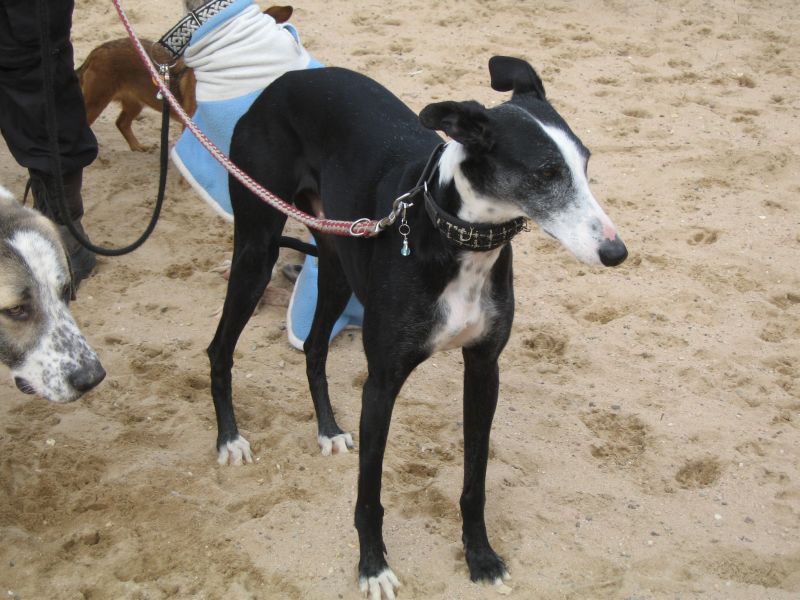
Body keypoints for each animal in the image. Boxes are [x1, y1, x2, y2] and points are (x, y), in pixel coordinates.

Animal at [208, 56, 627, 597]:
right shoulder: (382, 383)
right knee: (220, 348)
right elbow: (369, 494)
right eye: (547, 172)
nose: (616, 252)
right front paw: (372, 566)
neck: (454, 235)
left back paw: (329, 430)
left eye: (585, 164)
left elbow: (475, 480)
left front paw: (480, 555)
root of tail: (280, 83)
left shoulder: (484, 368)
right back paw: (230, 439)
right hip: (257, 250)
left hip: (336, 264)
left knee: (316, 347)